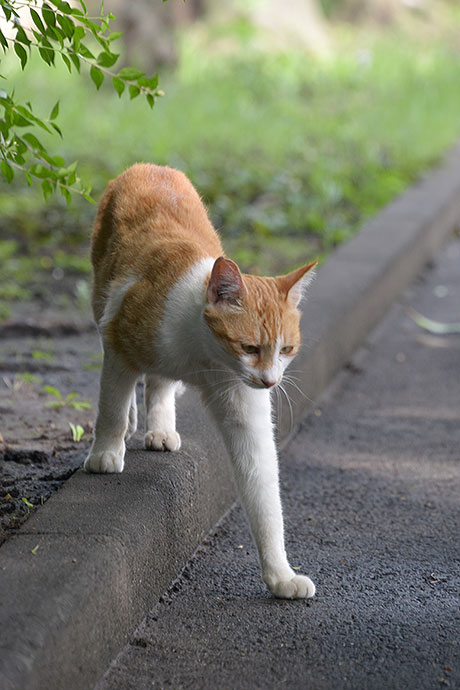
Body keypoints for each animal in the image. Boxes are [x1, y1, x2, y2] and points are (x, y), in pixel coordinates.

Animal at [85, 161, 316, 596]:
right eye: (249, 347)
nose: (271, 382)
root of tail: (150, 166)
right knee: (126, 390)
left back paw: (160, 429)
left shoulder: (245, 411)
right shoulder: (118, 340)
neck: (201, 355)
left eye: (286, 350)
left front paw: (280, 575)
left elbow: (264, 493)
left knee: (159, 384)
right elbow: (111, 408)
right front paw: (106, 450)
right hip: (101, 301)